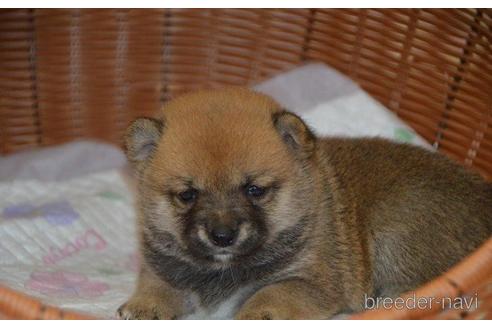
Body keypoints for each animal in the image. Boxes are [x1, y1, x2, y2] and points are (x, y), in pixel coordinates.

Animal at [117, 88, 490, 320]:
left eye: (254, 190)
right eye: (187, 195)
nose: (222, 236)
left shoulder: (310, 282)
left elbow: (273, 292)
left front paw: (257, 313)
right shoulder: (162, 263)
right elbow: (156, 281)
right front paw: (143, 305)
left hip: (395, 232)